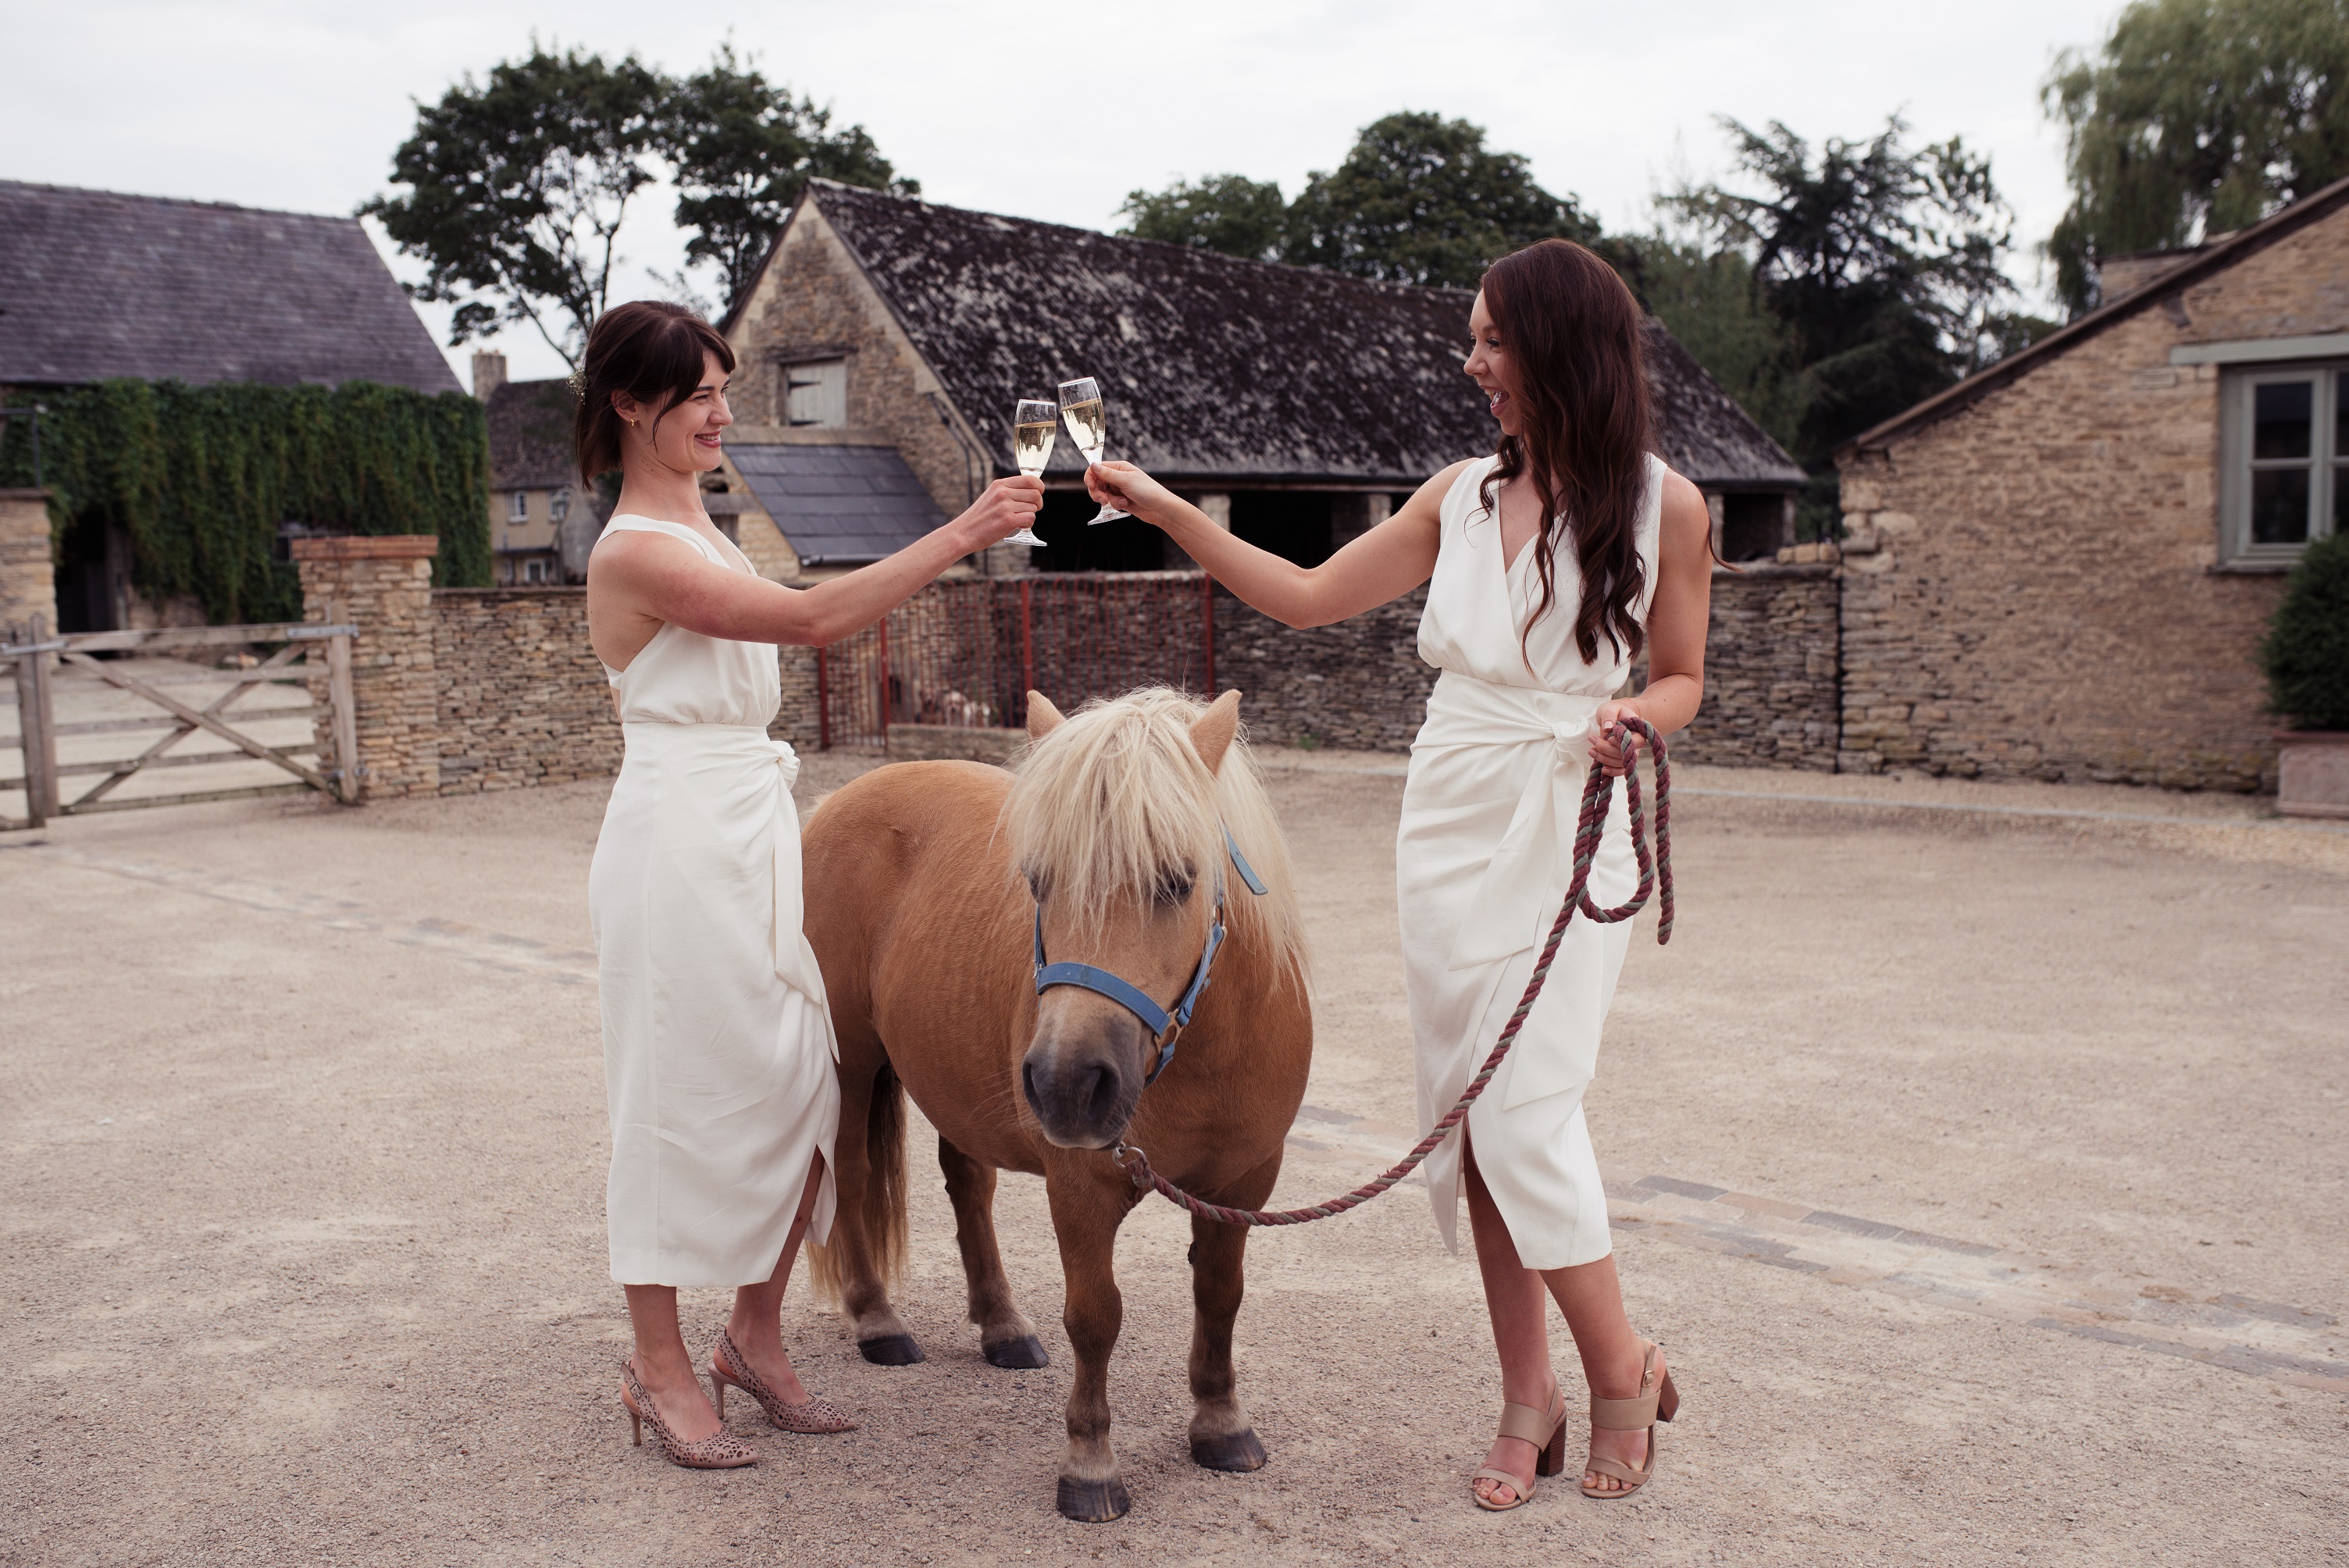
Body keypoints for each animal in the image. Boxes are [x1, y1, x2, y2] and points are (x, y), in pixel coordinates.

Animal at [803, 690, 1315, 1520]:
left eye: (1178, 880)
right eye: (1038, 882)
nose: (1068, 1083)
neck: (1199, 1052)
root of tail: (838, 801)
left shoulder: (1243, 1185)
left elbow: (1220, 1296)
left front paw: (1221, 1424)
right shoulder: (1082, 1189)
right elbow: (1096, 1316)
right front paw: (1090, 1464)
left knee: (969, 1188)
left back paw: (1002, 1326)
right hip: (850, 1069)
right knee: (850, 1179)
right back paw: (877, 1320)